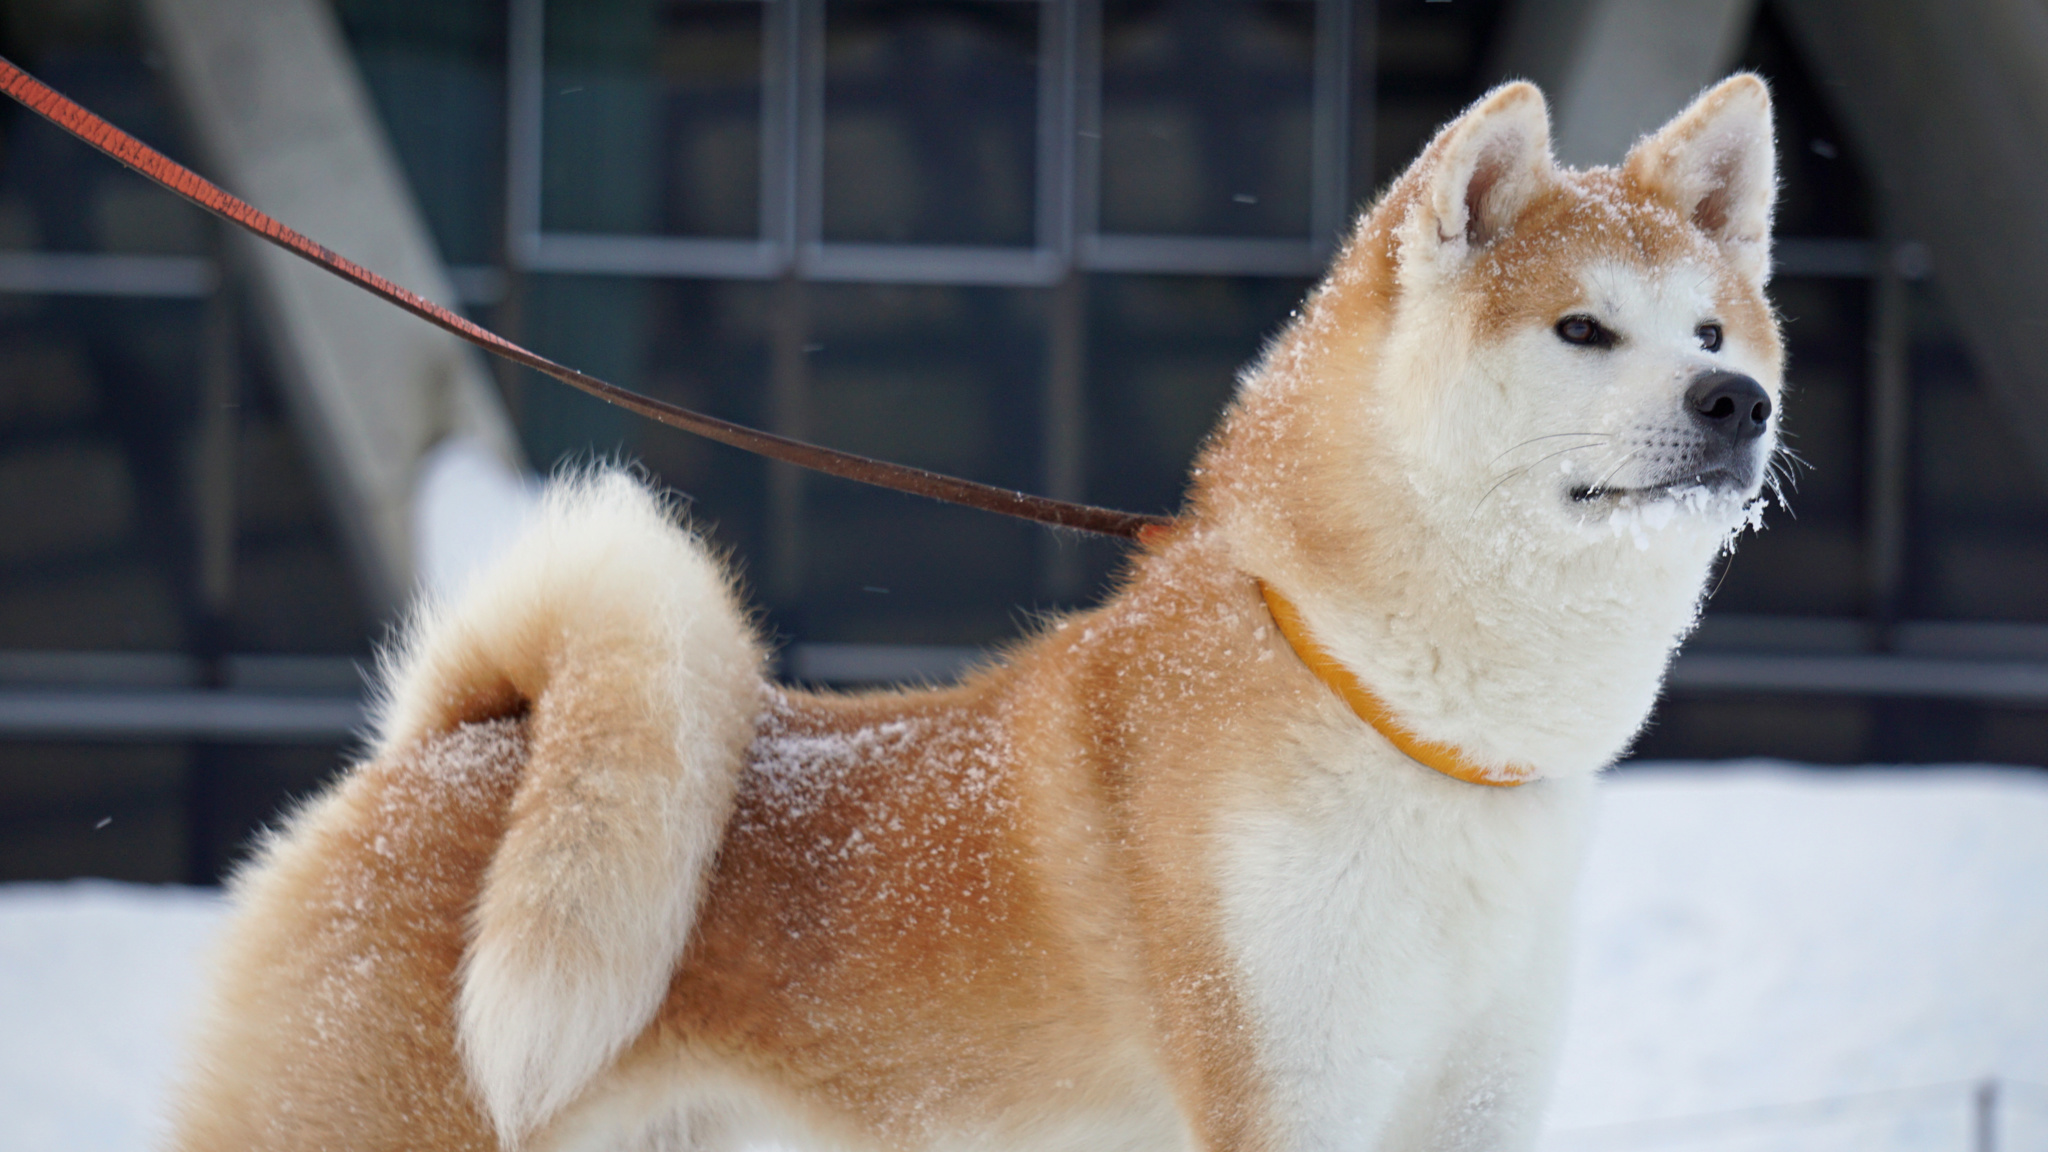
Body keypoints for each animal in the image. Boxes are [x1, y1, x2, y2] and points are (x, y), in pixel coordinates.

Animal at [172, 76, 1777, 1139]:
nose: (1737, 402)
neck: (1396, 717)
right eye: (1580, 329)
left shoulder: (1477, 1100)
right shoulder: (1288, 1095)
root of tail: (460, 736)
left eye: (1711, 329)